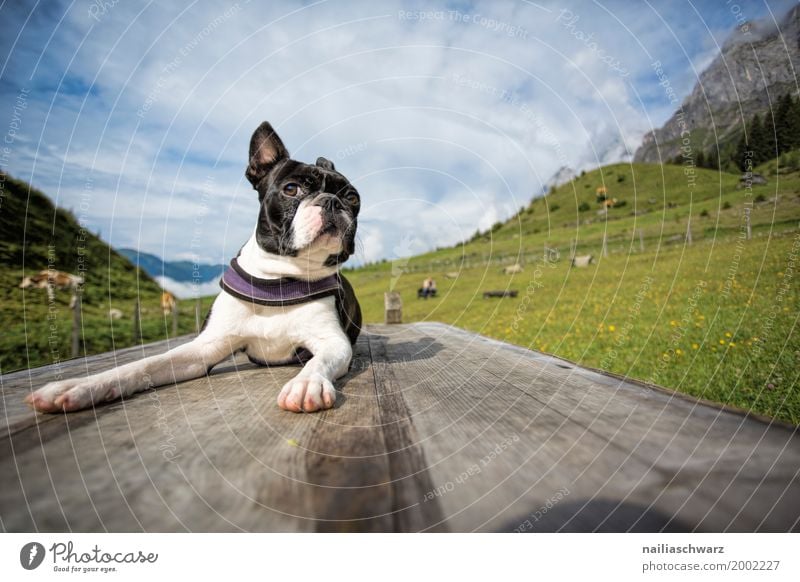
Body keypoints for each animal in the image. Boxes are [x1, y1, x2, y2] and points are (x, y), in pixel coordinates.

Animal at [25, 122, 362, 416]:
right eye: (292, 189)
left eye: (352, 197)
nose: (332, 201)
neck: (280, 280)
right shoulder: (205, 349)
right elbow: (144, 364)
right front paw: (81, 386)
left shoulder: (333, 342)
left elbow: (318, 361)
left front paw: (306, 382)